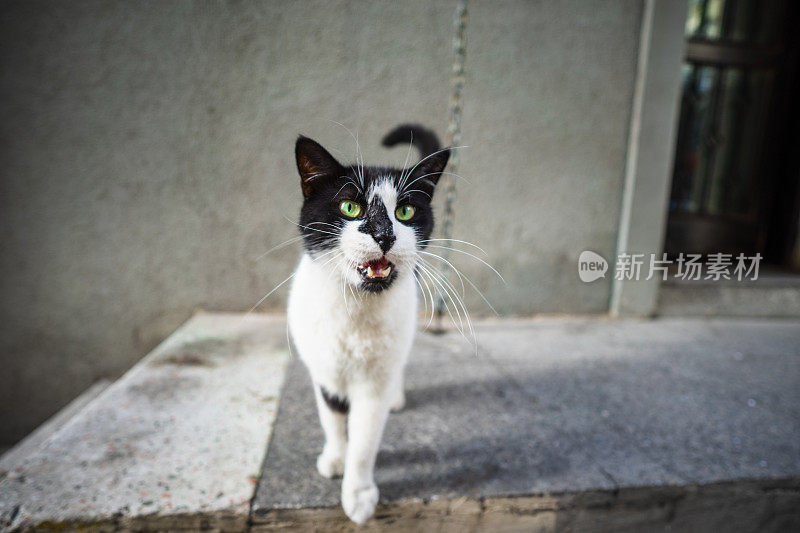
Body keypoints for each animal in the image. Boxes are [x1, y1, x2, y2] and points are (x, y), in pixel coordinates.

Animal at [288, 125, 450, 524]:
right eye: (350, 207)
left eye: (405, 211)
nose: (384, 234)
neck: (356, 312)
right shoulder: (325, 370)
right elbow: (332, 420)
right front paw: (335, 459)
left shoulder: (374, 384)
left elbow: (364, 440)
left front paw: (358, 494)